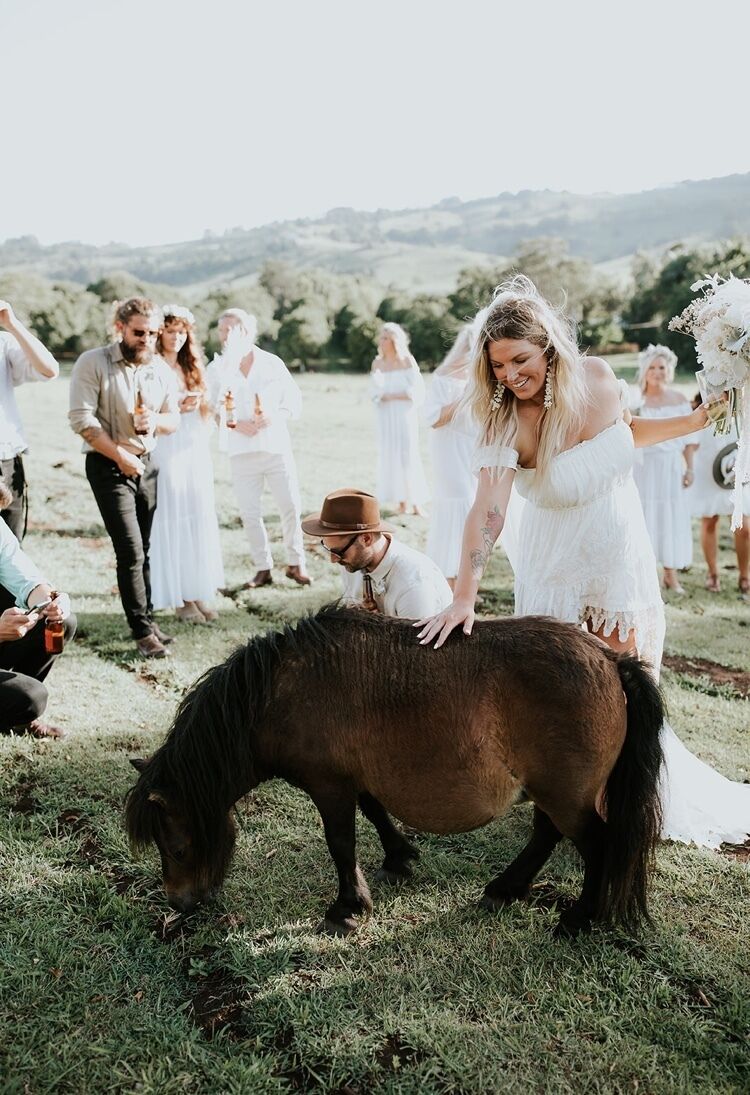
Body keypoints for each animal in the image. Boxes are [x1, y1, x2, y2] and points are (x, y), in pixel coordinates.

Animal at [125, 604, 665, 937]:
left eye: (177, 847)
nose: (178, 902)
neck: (276, 693)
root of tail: (609, 659)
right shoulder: (356, 779)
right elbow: (376, 812)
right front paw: (398, 859)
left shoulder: (329, 786)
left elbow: (341, 843)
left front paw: (347, 909)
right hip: (554, 791)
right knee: (546, 835)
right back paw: (504, 889)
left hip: (568, 796)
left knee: (596, 844)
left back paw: (578, 918)